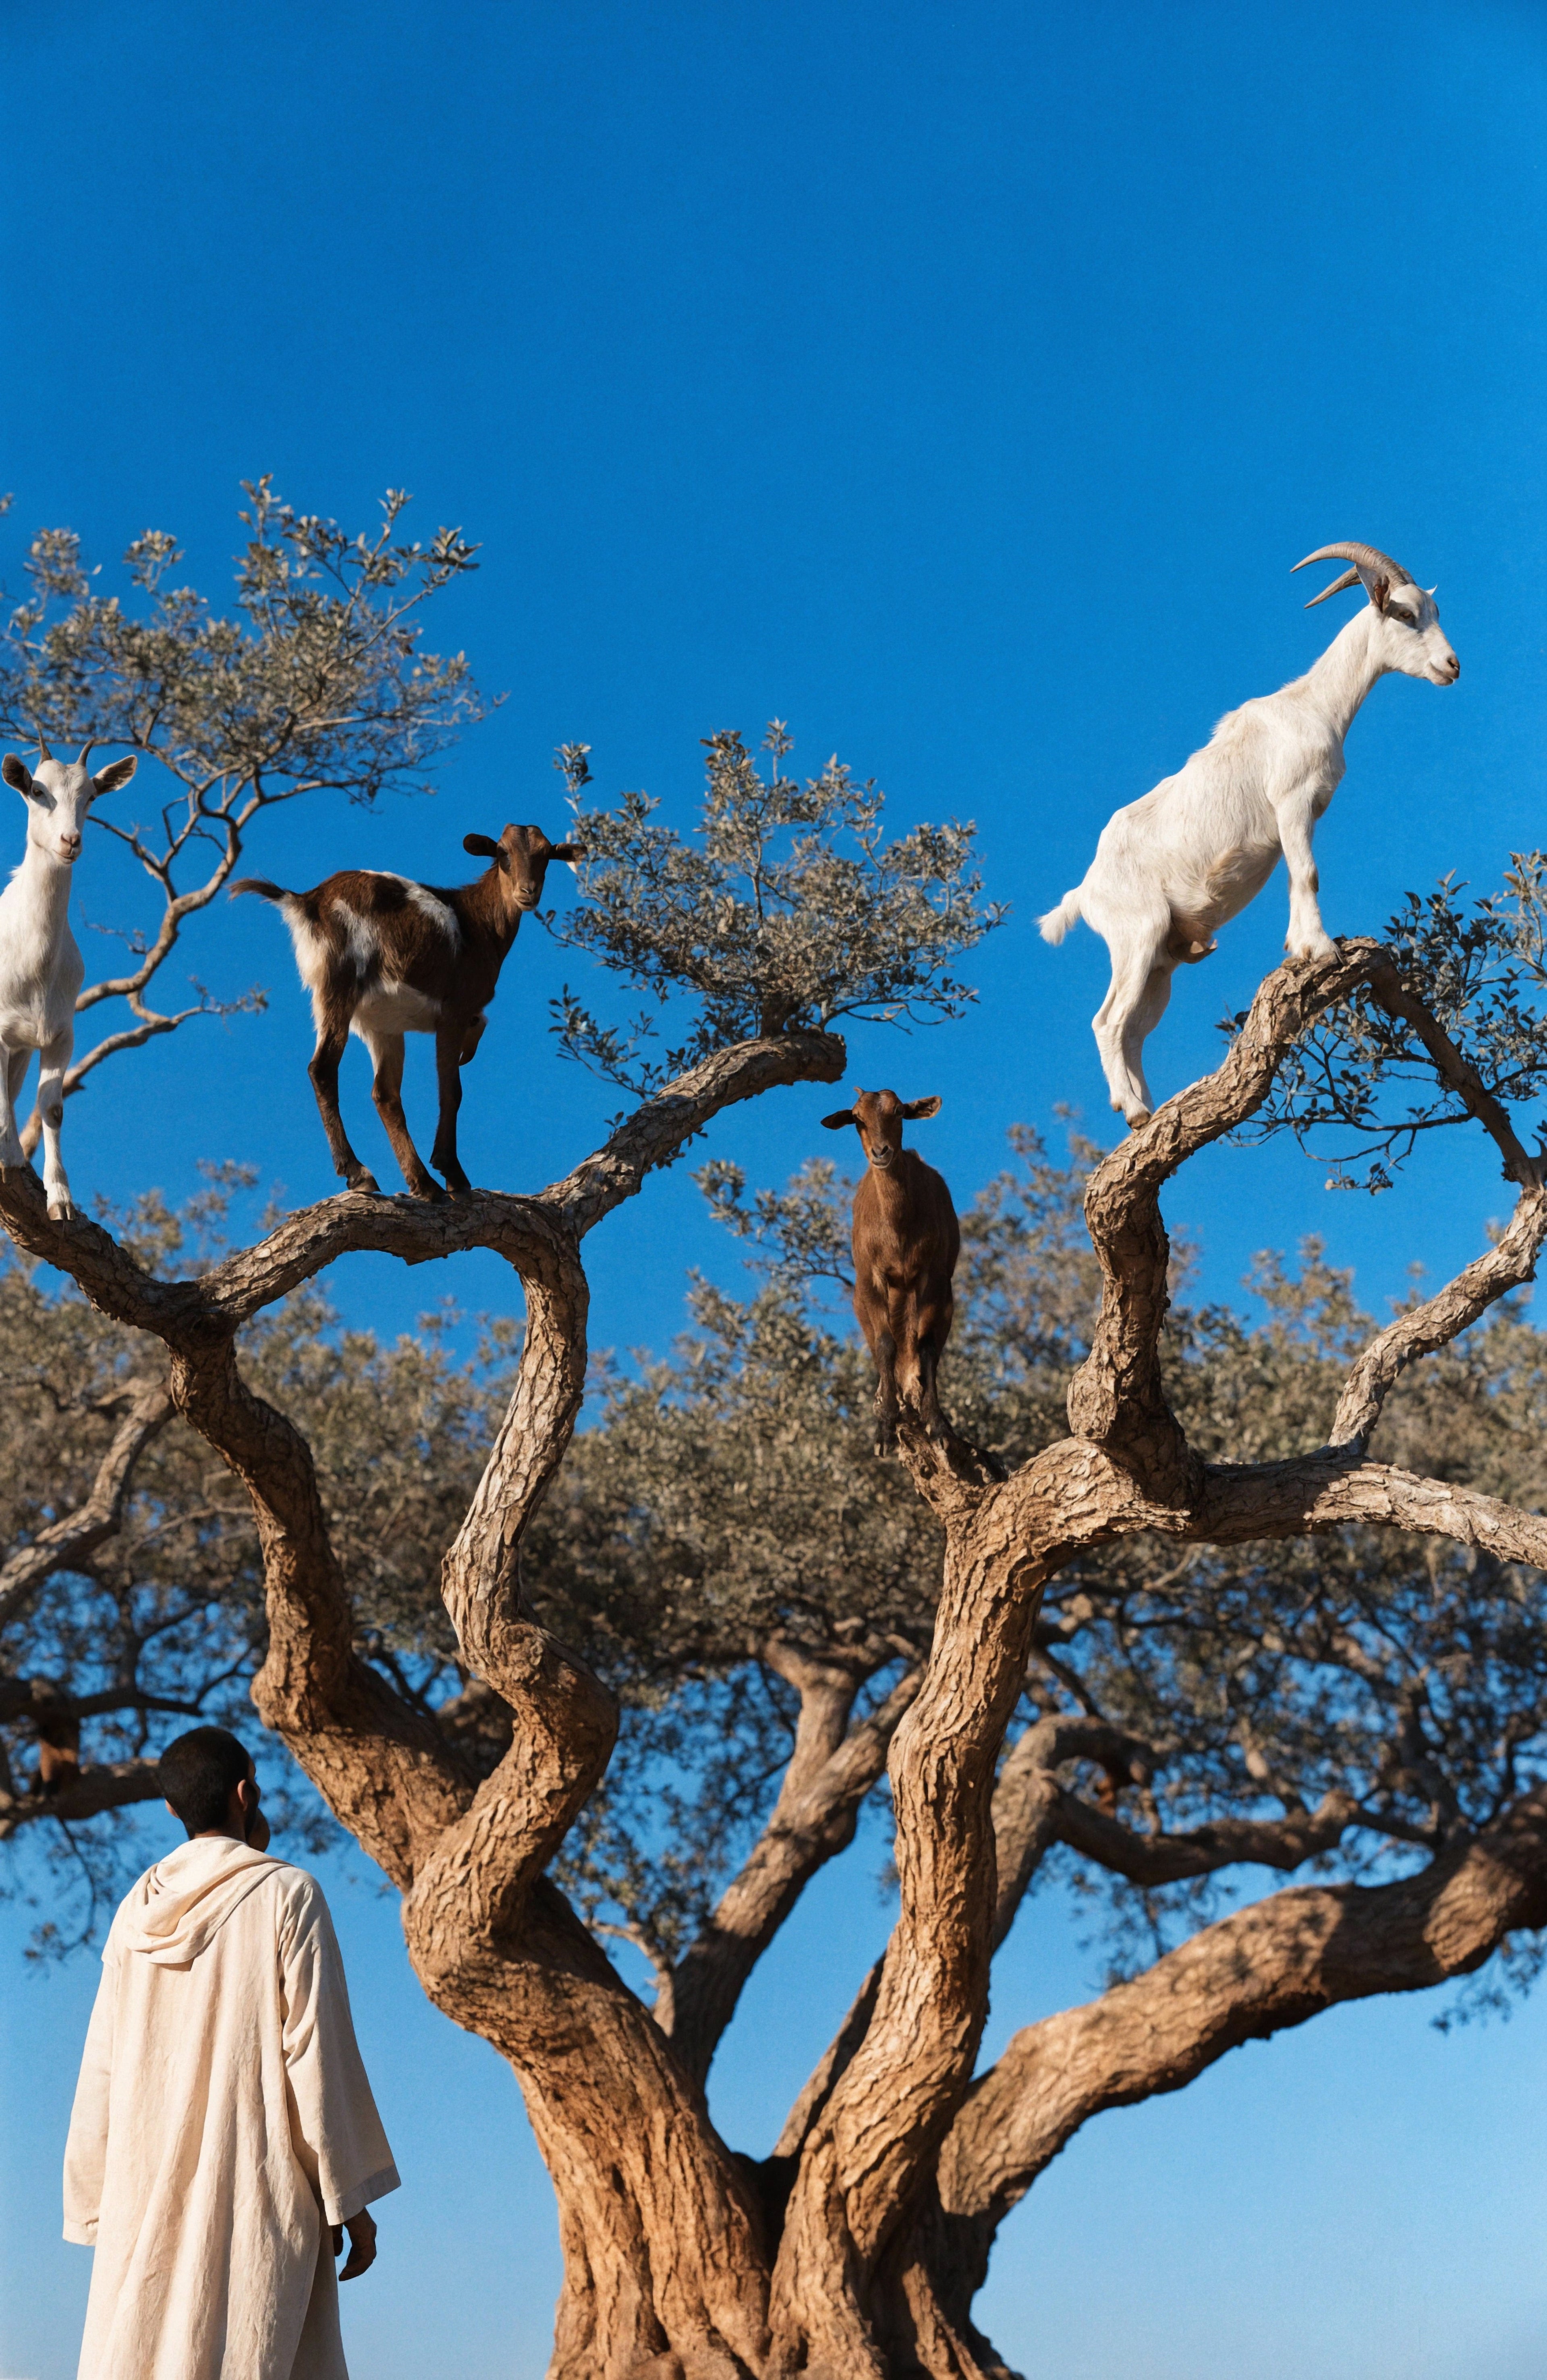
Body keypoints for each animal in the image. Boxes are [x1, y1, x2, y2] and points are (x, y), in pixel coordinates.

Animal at [0, 737, 137, 1220]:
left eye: (91, 796)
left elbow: (52, 1108)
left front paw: (60, 1199)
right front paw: (10, 1156)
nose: (70, 841)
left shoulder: (60, 1034)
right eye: (37, 791)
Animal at [233, 824, 581, 1199]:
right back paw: (360, 1173)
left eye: (546, 855)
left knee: (385, 1094)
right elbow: (452, 1089)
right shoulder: (454, 1012)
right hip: (340, 984)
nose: (527, 893)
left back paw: (422, 1183)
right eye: (502, 853)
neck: (477, 924)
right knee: (323, 1069)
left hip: (376, 1024)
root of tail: (306, 901)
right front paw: (453, 1172)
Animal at [822, 1087, 959, 1455]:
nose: (881, 1152)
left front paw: (938, 1425)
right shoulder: (872, 1278)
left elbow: (926, 1347)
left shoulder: (932, 1276)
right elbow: (885, 1345)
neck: (898, 1231)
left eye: (898, 1111)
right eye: (857, 1118)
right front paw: (884, 1428)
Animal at [1039, 541, 1461, 1127]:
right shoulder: (1292, 802)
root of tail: (1084, 893)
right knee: (1108, 1021)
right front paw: (1321, 949)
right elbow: (1308, 872)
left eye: (1435, 611)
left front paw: (1299, 946)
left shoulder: (1301, 815)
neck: (1313, 706)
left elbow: (1297, 877)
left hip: (1163, 960)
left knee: (1135, 1029)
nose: (1452, 666)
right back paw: (1138, 1114)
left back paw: (1148, 1107)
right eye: (1403, 613)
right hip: (1136, 935)